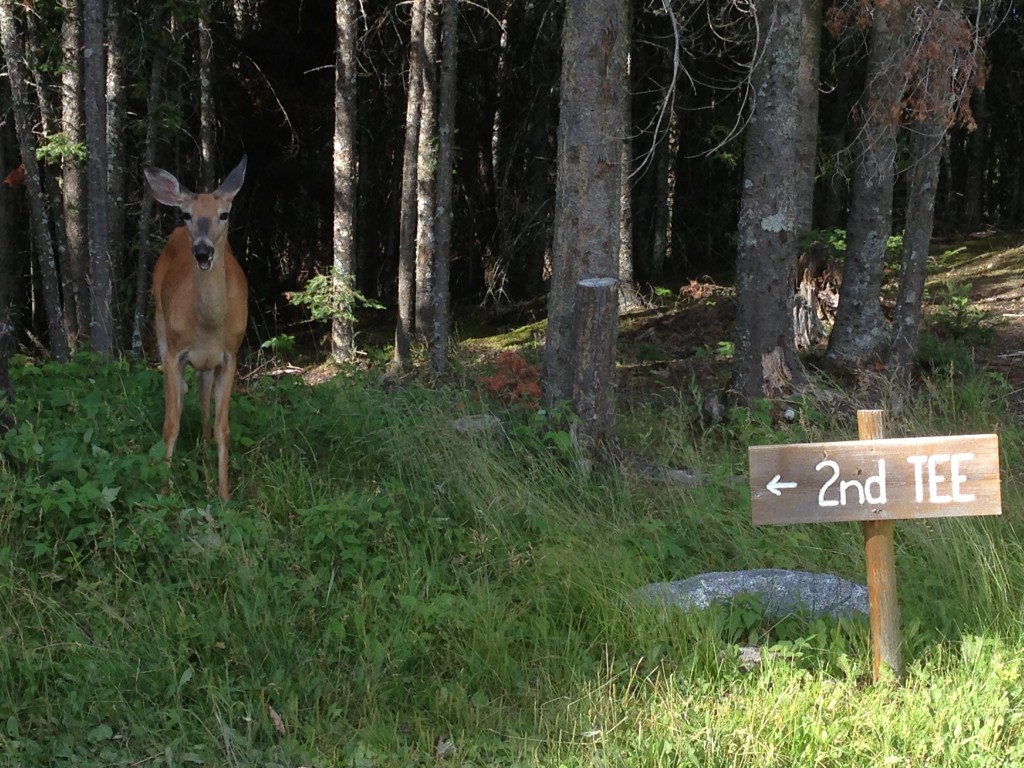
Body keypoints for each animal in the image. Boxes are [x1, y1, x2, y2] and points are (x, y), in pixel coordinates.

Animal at [144, 159, 249, 501]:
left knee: (202, 390)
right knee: (179, 396)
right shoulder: (175, 353)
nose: (203, 252)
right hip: (159, 324)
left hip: (208, 362)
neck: (209, 327)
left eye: (224, 214)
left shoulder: (230, 355)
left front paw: (224, 494)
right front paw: (165, 487)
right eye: (187, 214)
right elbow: (171, 424)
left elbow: (222, 428)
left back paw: (203, 447)